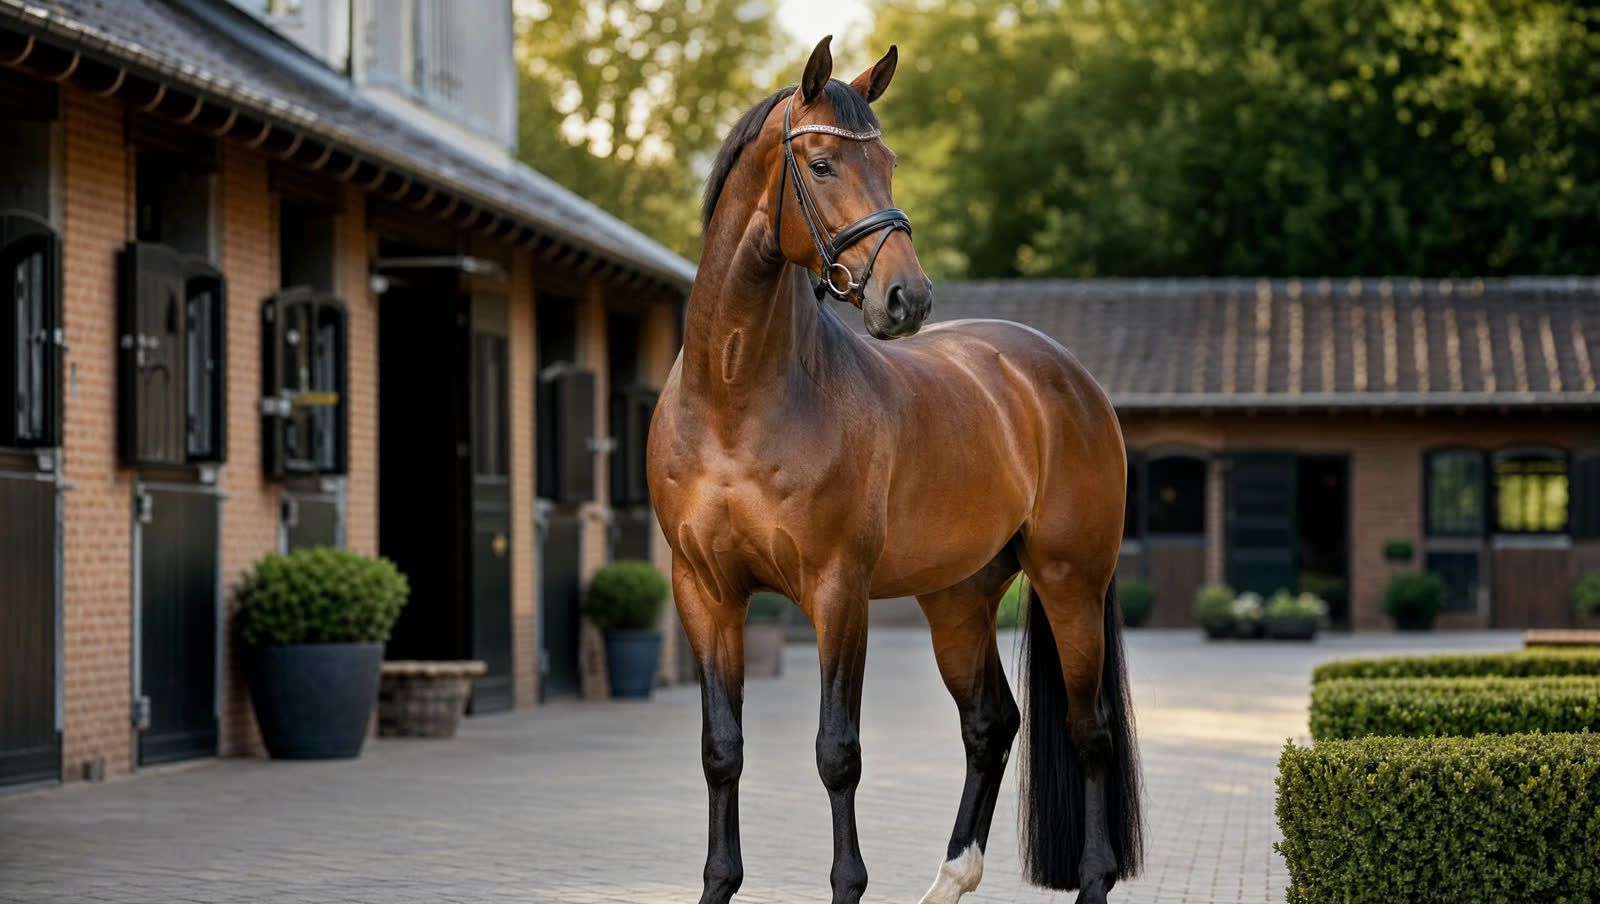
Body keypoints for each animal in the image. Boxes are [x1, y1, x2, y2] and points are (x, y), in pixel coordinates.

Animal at [646, 35, 1143, 904]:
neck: (733, 401)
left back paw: (1089, 880)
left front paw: (848, 886)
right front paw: (717, 884)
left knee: (1089, 733)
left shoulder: (838, 592)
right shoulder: (704, 592)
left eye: (890, 161)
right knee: (991, 724)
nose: (907, 298)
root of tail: (1069, 378)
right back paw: (949, 878)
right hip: (959, 596)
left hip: (1069, 582)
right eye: (821, 164)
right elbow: (721, 750)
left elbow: (837, 752)